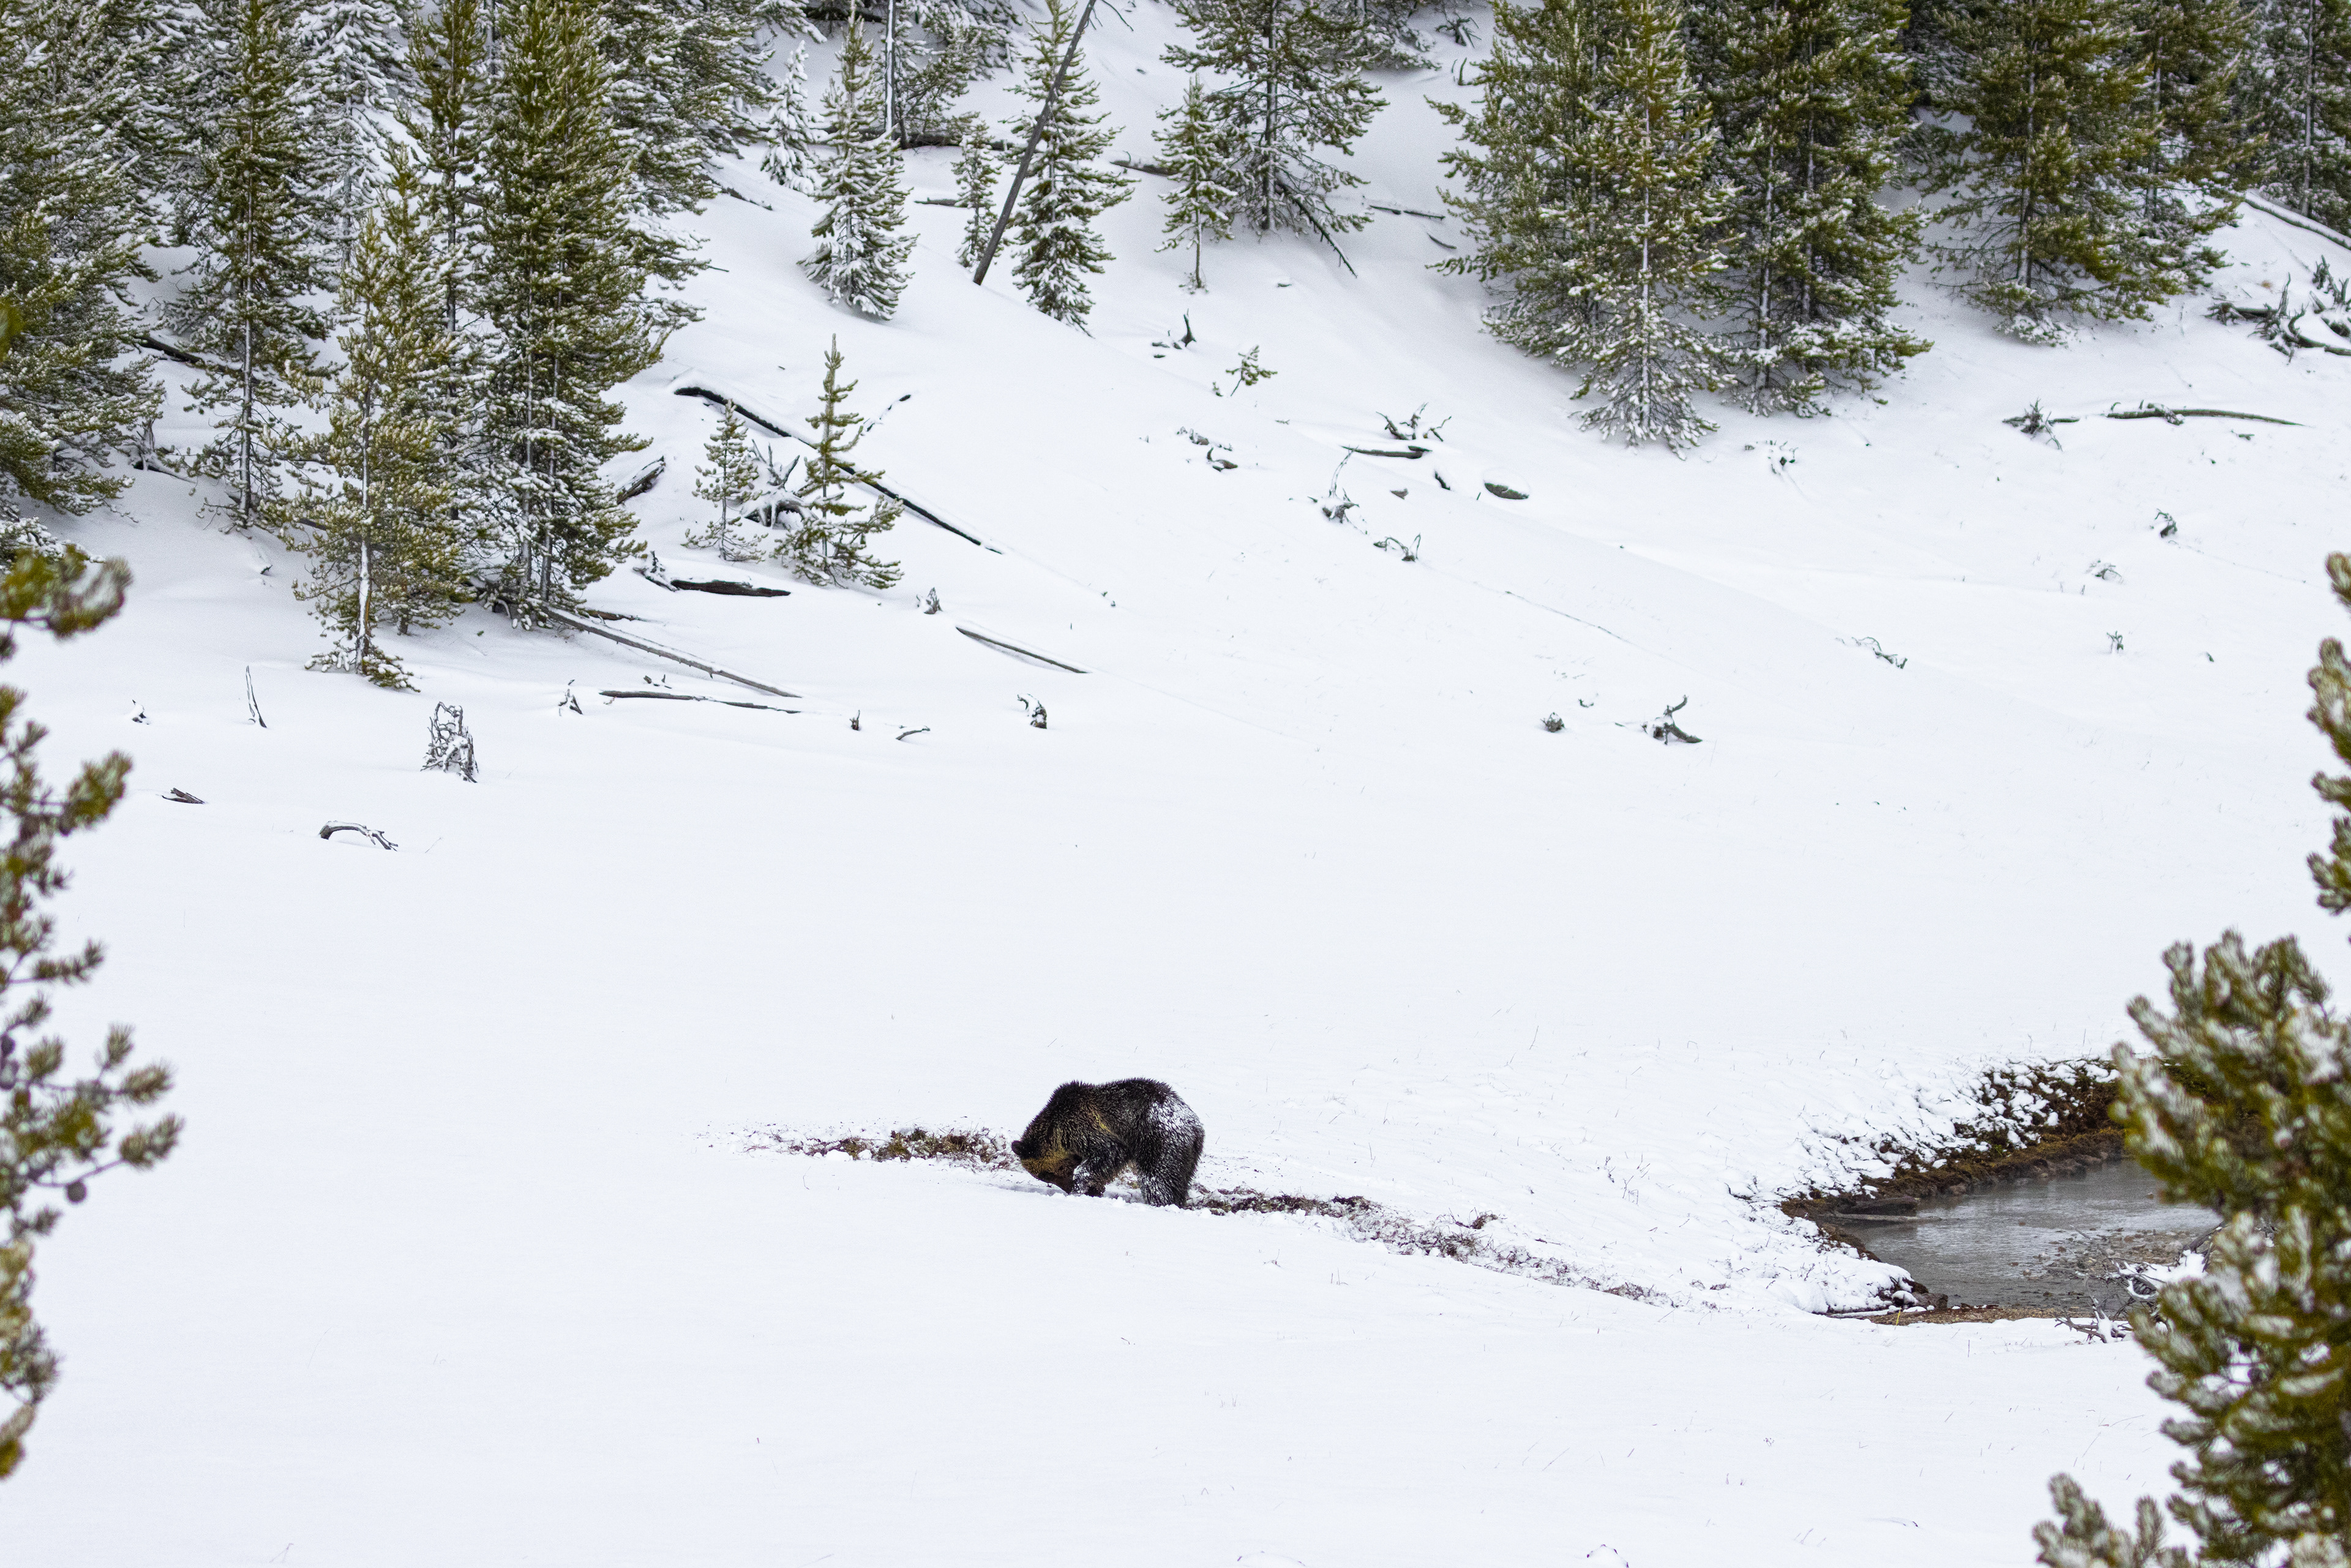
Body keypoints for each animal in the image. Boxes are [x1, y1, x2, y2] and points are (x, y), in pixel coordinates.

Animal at [1010, 1079, 1204, 1207]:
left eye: (1048, 1174)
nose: (1067, 1188)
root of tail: (1196, 1126)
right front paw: (1094, 1189)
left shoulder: (1083, 1128)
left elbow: (1107, 1152)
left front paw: (1080, 1187)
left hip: (1158, 1141)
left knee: (1156, 1179)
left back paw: (1161, 1202)